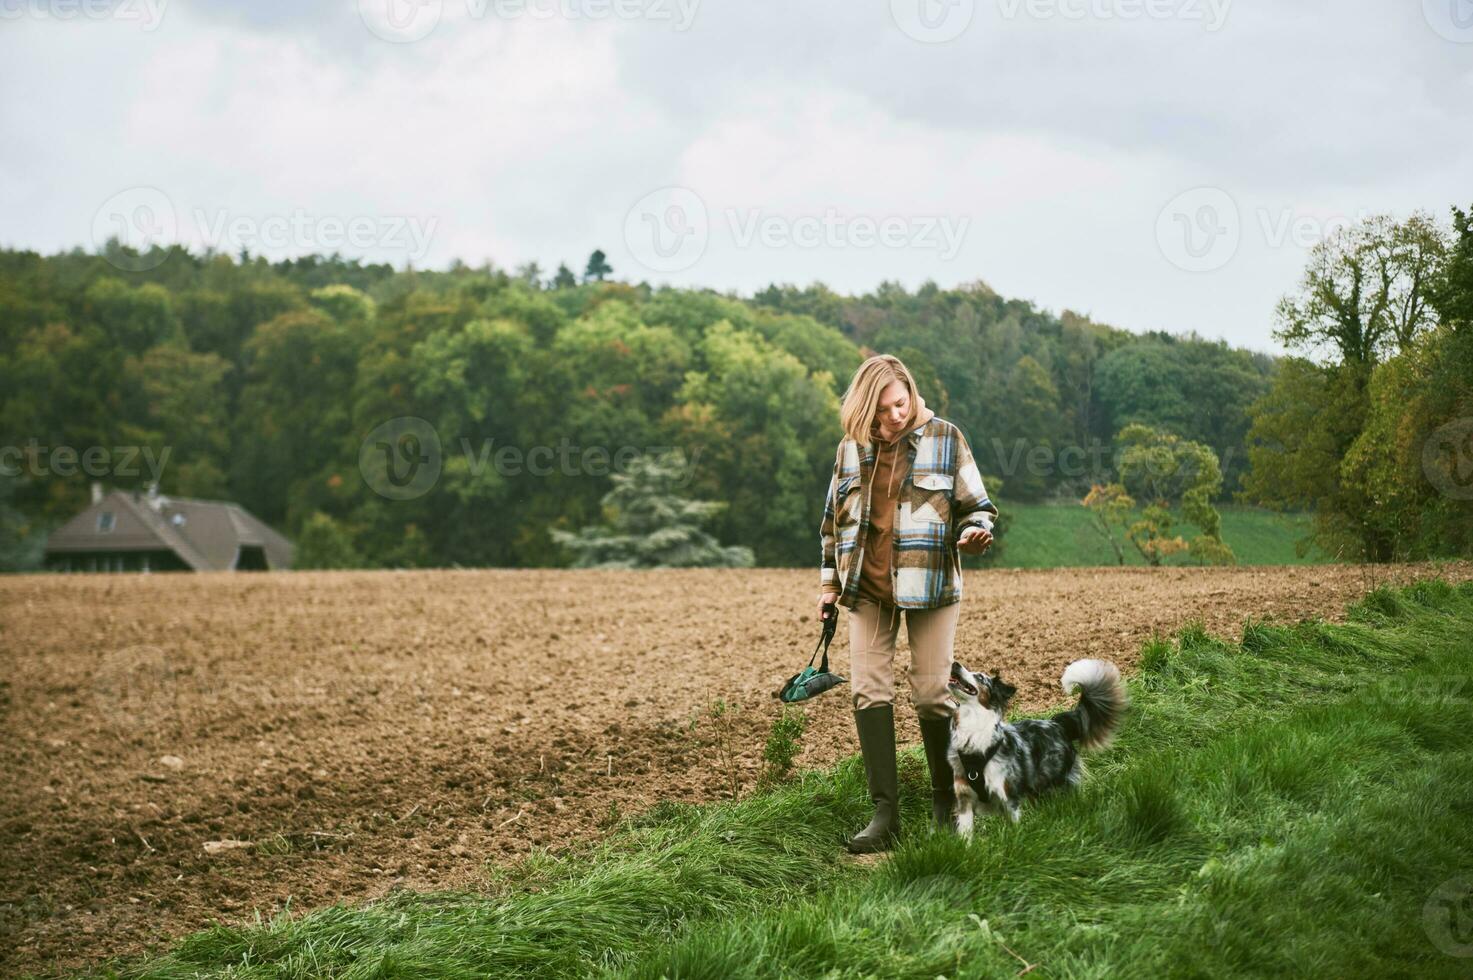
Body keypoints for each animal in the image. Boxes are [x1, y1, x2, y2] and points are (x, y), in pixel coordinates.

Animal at [942, 657, 1125, 831]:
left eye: (979, 677)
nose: (955, 664)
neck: (972, 727)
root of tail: (1057, 724)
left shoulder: (1009, 798)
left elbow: (1014, 828)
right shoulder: (964, 800)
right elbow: (966, 835)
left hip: (1058, 782)